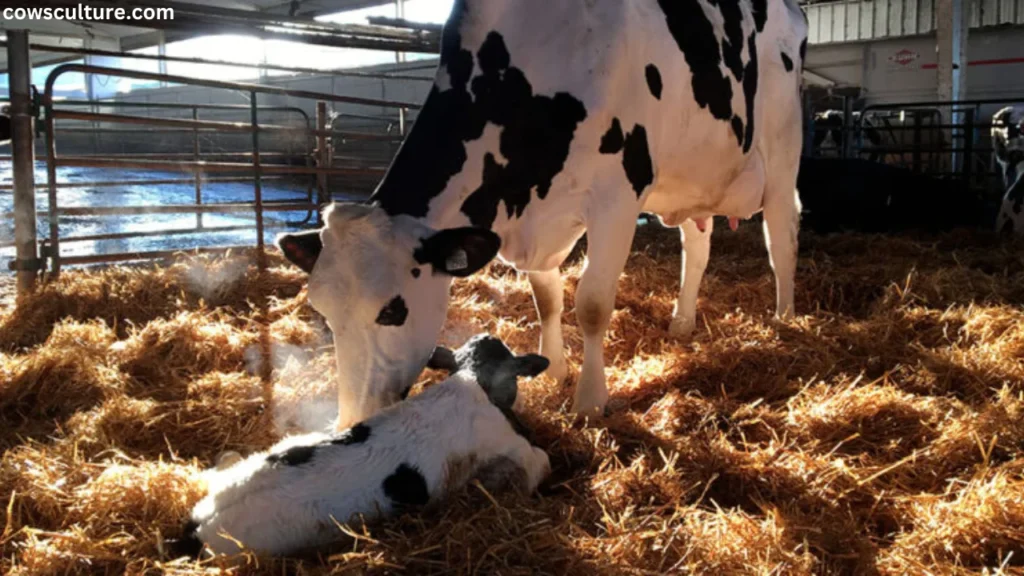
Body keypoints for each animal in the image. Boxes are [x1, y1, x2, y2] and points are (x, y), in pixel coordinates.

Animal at [276, 0, 811, 422]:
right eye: (321, 312)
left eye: (391, 309)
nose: (353, 418)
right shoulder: (537, 217)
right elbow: (547, 298)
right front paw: (553, 370)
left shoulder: (618, 197)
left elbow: (591, 304)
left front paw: (590, 401)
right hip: (693, 178)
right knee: (697, 246)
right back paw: (681, 322)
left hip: (782, 150)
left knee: (781, 239)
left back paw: (785, 319)